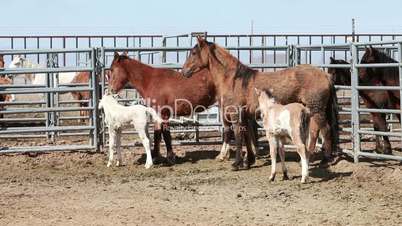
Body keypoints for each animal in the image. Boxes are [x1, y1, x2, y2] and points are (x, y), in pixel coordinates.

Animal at [181, 36, 338, 170]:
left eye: (193, 53)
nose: (184, 71)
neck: (234, 80)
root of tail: (325, 75)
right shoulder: (245, 116)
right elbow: (247, 136)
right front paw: (249, 161)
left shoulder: (236, 115)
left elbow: (238, 136)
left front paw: (237, 163)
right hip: (312, 109)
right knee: (316, 131)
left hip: (316, 108)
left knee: (325, 130)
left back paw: (324, 160)